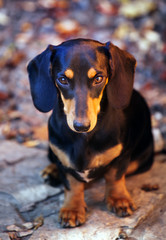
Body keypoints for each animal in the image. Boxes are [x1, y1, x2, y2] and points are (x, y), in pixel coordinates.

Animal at [27, 38, 153, 228]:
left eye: (98, 78)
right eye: (62, 79)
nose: (81, 126)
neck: (84, 138)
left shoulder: (122, 156)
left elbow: (115, 176)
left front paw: (119, 199)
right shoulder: (64, 161)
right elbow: (71, 183)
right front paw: (72, 209)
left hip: (143, 159)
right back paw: (52, 170)